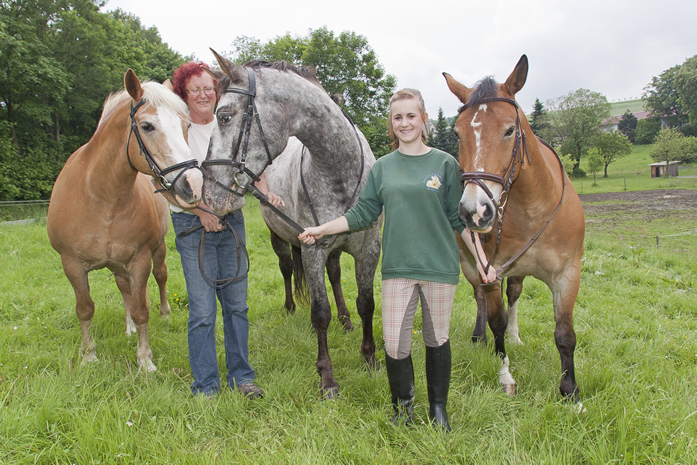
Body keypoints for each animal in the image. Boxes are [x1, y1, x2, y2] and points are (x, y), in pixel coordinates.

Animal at [47, 69, 201, 372]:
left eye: (185, 125)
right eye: (147, 126)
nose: (193, 183)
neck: (102, 197)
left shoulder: (139, 260)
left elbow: (143, 310)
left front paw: (145, 360)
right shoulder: (71, 264)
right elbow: (85, 309)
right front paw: (88, 355)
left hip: (156, 249)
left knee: (160, 276)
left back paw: (164, 314)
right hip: (115, 263)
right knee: (123, 287)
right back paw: (127, 327)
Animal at [200, 51, 380, 398]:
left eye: (224, 116)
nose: (210, 195)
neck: (340, 169)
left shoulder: (368, 250)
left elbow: (366, 303)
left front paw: (370, 358)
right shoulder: (311, 249)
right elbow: (320, 312)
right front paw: (327, 378)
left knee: (334, 275)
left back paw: (346, 319)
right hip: (280, 239)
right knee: (287, 269)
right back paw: (290, 307)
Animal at [444, 56, 584, 400]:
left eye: (510, 130)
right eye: (458, 134)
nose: (474, 211)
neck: (532, 208)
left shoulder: (568, 275)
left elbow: (565, 334)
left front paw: (570, 392)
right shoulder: (488, 269)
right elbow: (496, 319)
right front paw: (504, 374)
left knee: (516, 293)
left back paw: (516, 334)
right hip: (471, 264)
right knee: (481, 297)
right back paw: (480, 336)